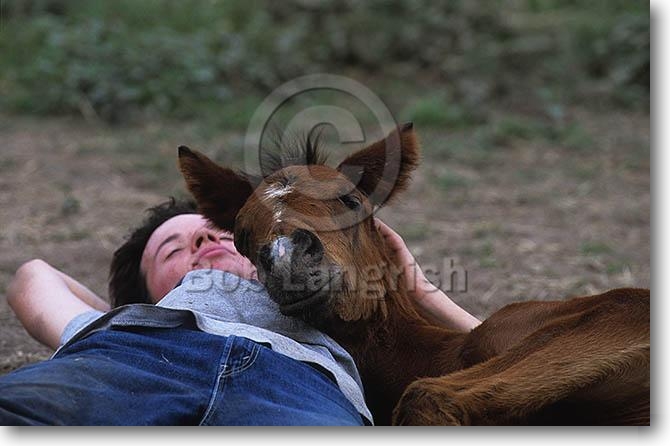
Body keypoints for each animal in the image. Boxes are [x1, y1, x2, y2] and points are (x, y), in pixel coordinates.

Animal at [177, 124, 650, 425]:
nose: (289, 257)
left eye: (352, 201)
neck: (444, 353)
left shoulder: (622, 312)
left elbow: (428, 394)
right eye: (241, 235)